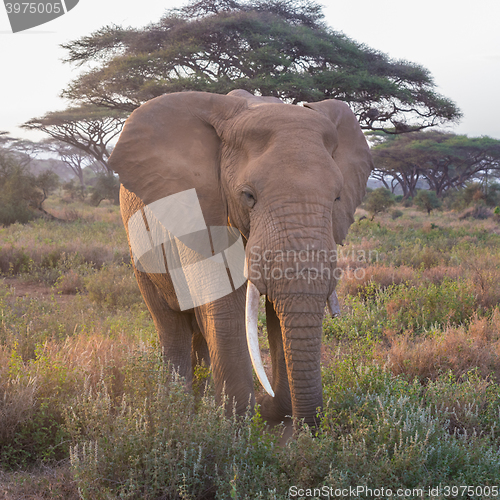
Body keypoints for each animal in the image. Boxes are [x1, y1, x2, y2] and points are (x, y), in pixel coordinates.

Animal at [110, 89, 376, 426]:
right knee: (171, 324)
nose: (309, 426)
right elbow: (225, 310)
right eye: (248, 196)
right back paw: (177, 410)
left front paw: (270, 414)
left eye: (338, 197)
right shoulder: (201, 211)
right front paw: (237, 425)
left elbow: (276, 313)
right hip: (139, 248)